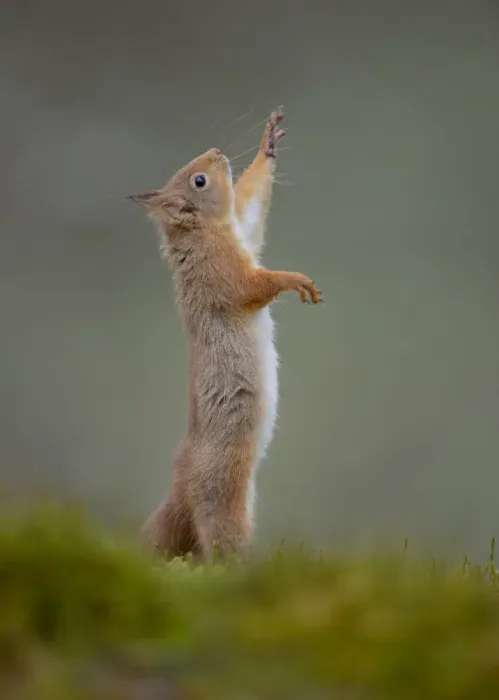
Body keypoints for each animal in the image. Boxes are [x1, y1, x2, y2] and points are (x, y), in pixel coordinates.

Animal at [129, 108, 322, 562]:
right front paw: (294, 280)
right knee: (221, 543)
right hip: (224, 493)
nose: (217, 150)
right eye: (199, 180)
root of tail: (181, 480)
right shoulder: (224, 273)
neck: (204, 232)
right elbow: (254, 286)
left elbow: (251, 205)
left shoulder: (244, 232)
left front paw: (268, 145)